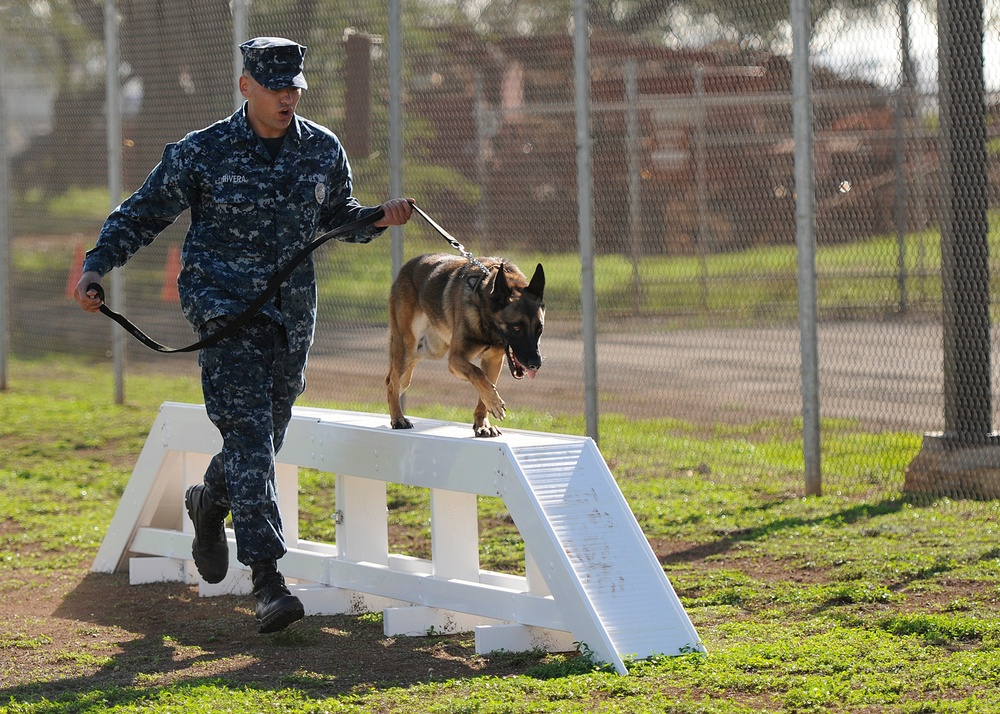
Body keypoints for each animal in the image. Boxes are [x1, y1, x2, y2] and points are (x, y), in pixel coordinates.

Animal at [386, 253, 548, 436]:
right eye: (517, 327)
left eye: (539, 329)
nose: (536, 364)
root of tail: (407, 266)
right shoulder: (456, 359)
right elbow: (477, 373)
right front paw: (495, 402)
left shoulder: (493, 362)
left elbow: (485, 388)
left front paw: (483, 424)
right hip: (407, 347)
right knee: (392, 384)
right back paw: (398, 418)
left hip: (429, 351)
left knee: (396, 379)